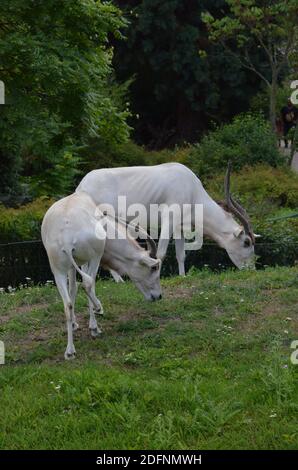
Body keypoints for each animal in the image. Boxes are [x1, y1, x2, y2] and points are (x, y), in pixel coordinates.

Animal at [41, 191, 161, 360]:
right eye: (154, 267)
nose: (158, 296)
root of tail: (66, 239)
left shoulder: (71, 267)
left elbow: (73, 290)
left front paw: (75, 324)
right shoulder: (86, 261)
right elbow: (85, 286)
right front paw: (93, 326)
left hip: (58, 270)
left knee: (67, 304)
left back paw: (70, 351)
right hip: (95, 257)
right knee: (88, 284)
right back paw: (98, 311)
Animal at [75, 163, 258, 278]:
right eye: (247, 242)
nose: (251, 270)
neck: (191, 190)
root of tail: (81, 187)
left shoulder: (180, 227)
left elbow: (181, 254)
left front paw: (183, 276)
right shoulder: (169, 220)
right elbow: (162, 253)